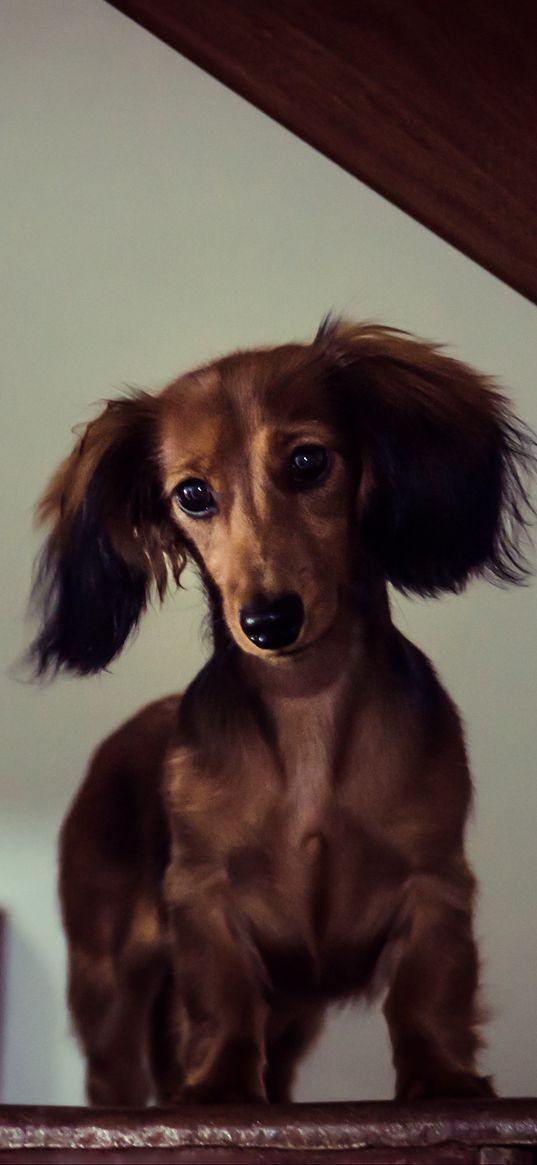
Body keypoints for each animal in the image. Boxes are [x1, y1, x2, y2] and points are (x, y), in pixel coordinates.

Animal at [32, 323, 531, 1104]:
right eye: (193, 494)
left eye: (306, 461)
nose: (268, 622)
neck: (307, 702)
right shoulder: (203, 894)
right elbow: (223, 998)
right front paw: (216, 1087)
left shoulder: (436, 881)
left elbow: (428, 991)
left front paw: (443, 1079)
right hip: (105, 978)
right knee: (114, 1072)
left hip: (293, 1010)